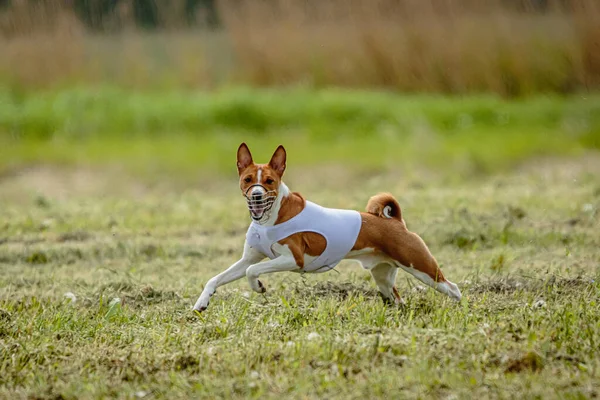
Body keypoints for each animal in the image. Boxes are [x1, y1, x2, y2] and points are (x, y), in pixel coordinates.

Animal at [192, 144, 460, 312]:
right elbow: (216, 278)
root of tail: (395, 221)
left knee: (453, 288)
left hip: (422, 267)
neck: (270, 219)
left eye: (269, 181)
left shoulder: (293, 259)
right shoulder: (249, 258)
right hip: (383, 277)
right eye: (248, 180)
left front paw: (259, 287)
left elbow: (253, 271)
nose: (256, 195)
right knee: (398, 299)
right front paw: (202, 303)